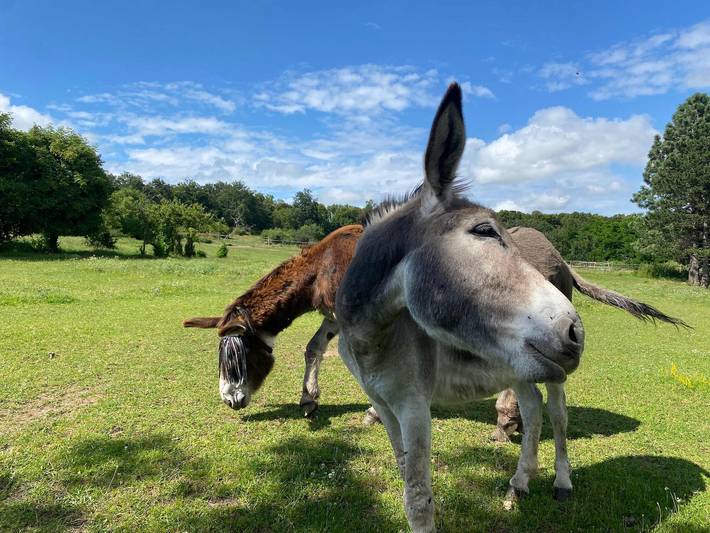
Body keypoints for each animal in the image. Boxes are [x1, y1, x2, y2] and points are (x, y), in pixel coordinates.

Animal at [335, 83, 686, 531]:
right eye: (485, 231)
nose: (574, 330)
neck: (372, 334)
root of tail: (563, 259)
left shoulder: (414, 406)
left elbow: (418, 499)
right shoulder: (385, 403)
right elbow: (404, 475)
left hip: (546, 368)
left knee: (556, 414)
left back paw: (561, 482)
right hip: (522, 362)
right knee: (532, 408)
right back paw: (519, 483)